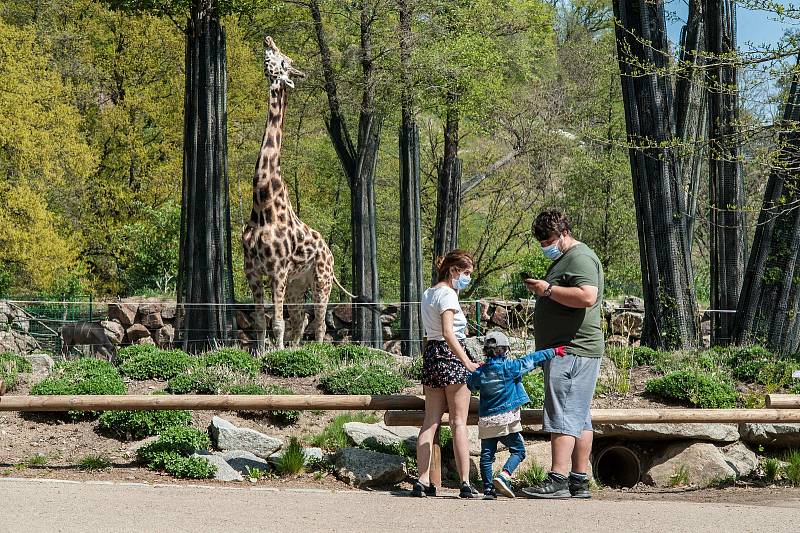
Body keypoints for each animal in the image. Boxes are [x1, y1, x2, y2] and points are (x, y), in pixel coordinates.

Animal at [241, 38, 346, 354]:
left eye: (283, 60)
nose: (268, 41)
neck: (262, 201)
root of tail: (329, 249)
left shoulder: (277, 270)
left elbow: (277, 323)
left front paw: (275, 354)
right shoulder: (252, 271)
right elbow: (260, 323)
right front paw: (262, 354)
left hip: (322, 277)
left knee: (320, 322)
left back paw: (318, 353)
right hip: (298, 283)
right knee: (302, 319)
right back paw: (296, 349)